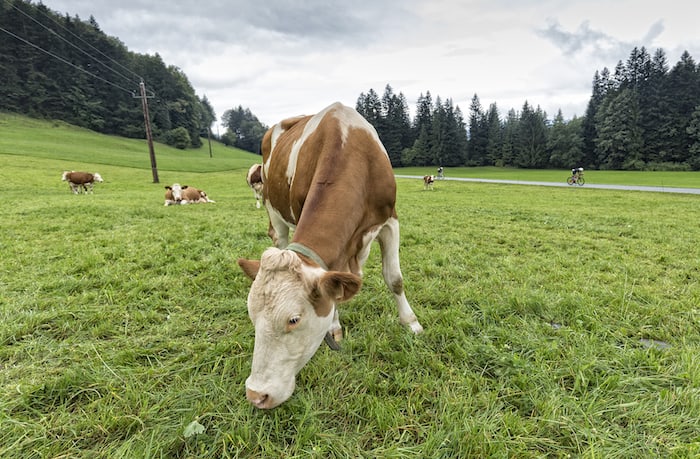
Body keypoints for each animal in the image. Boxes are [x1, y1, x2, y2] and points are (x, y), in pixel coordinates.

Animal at [238, 101, 424, 410]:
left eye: (293, 319)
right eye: (252, 315)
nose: (256, 395)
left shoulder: (389, 220)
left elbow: (394, 278)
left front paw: (411, 323)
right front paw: (335, 326)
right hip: (273, 208)